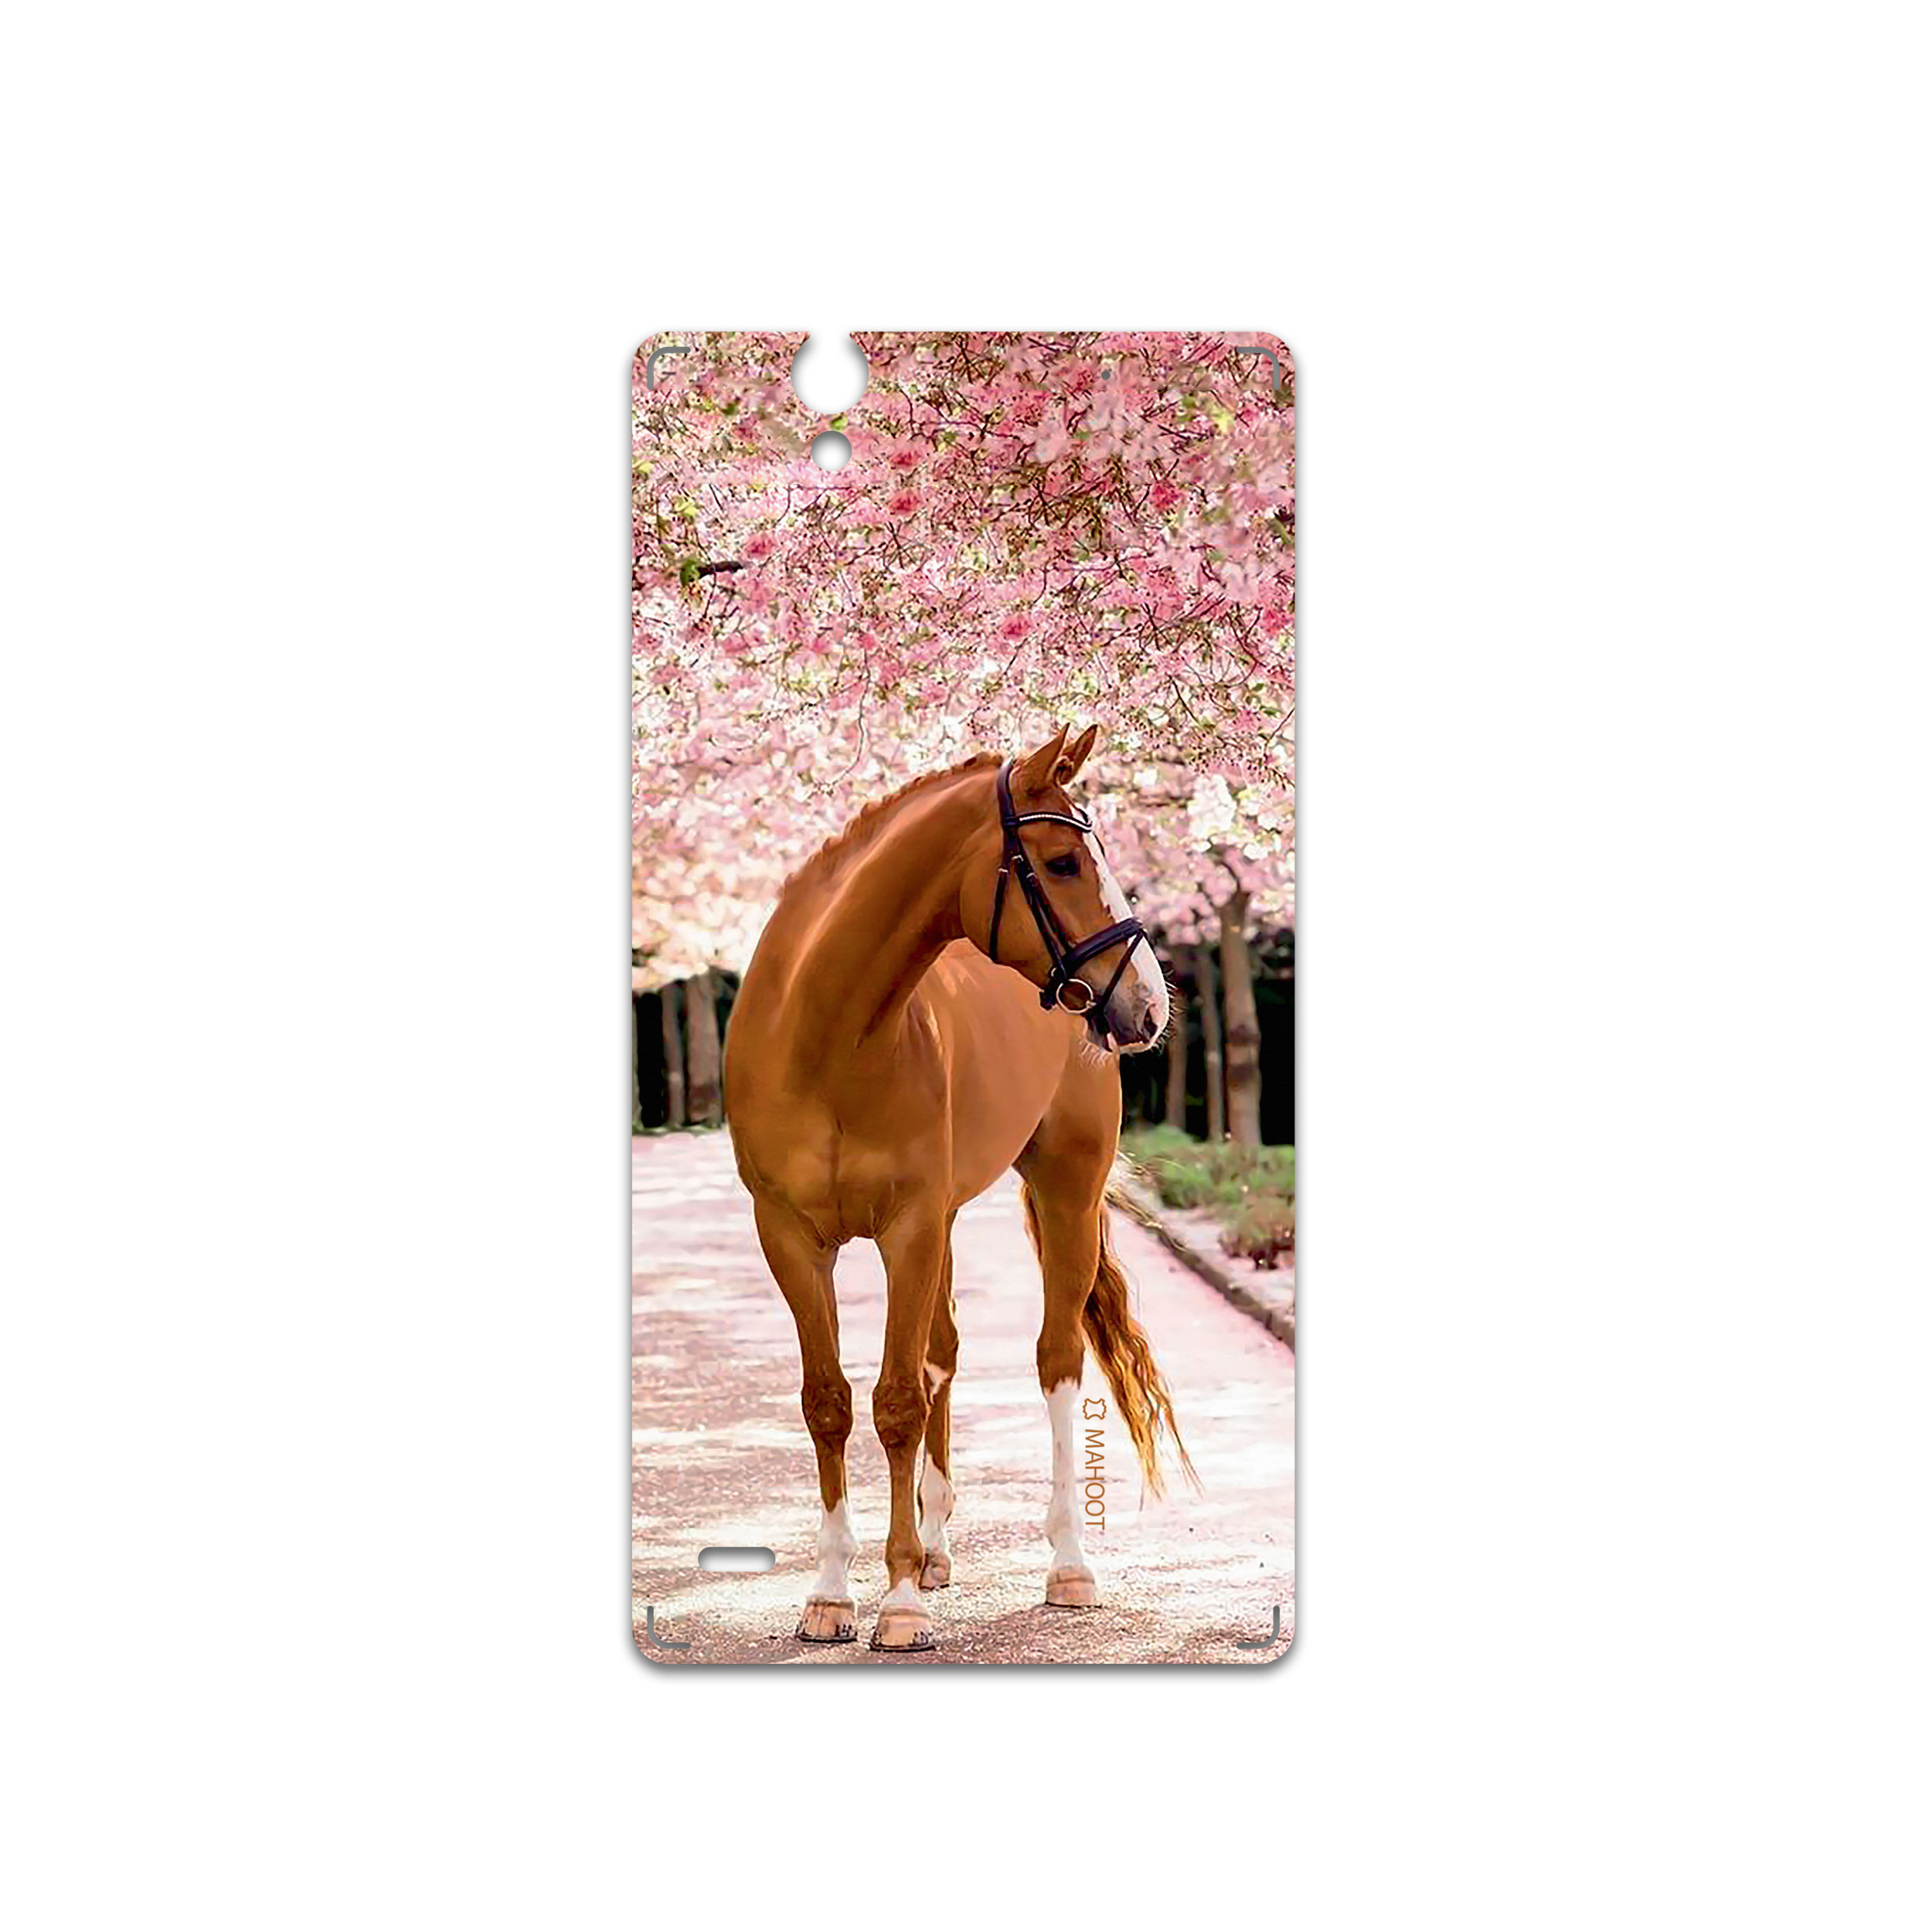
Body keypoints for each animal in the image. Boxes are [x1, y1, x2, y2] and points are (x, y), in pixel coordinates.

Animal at [723, 723, 1192, 1652]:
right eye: (1061, 862)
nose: (1150, 1005)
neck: (825, 1037)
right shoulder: (791, 1236)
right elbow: (829, 1402)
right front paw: (831, 1594)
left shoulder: (907, 1227)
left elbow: (898, 1401)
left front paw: (898, 1603)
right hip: (942, 1222)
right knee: (942, 1353)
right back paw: (937, 1549)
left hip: (1064, 1191)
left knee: (1055, 1359)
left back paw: (1067, 1565)